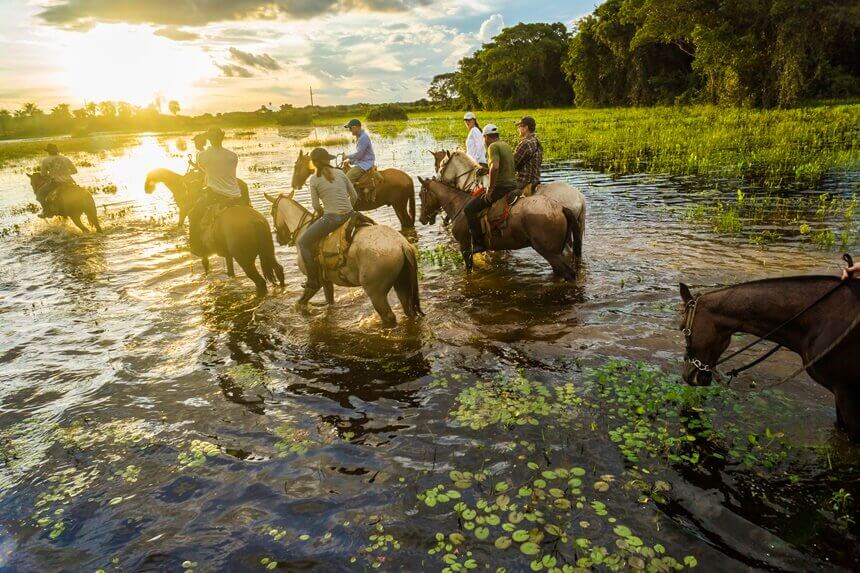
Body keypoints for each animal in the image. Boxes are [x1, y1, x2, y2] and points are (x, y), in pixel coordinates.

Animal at [264, 192, 422, 326]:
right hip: (401, 284)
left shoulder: (315, 282)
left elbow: (300, 302)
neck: (303, 230)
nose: (279, 239)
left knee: (389, 316)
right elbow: (329, 300)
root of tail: (402, 244)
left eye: (272, 212)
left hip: (376, 293)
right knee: (408, 310)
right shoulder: (326, 281)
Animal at [414, 177, 576, 280]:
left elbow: (468, 268)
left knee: (569, 274)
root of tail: (560, 208)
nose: (422, 219)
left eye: (421, 195)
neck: (459, 205)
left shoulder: (465, 247)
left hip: (549, 252)